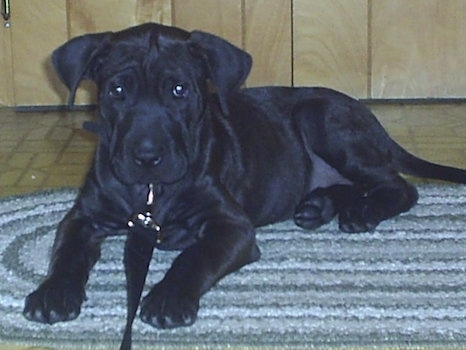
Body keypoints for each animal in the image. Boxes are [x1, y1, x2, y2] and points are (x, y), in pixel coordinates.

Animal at [24, 23, 466, 348]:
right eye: (117, 90)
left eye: (179, 89)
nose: (147, 156)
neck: (150, 191)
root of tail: (369, 118)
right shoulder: (83, 217)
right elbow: (66, 253)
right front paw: (53, 292)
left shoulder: (231, 226)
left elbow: (195, 257)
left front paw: (168, 298)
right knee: (346, 184)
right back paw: (317, 207)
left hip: (321, 118)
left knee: (399, 186)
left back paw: (363, 212)